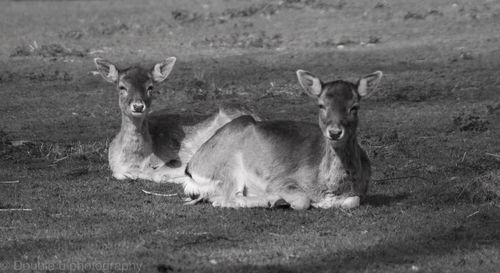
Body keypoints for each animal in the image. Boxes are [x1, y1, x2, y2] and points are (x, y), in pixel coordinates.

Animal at [94, 56, 252, 182]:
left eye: (150, 87)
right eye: (122, 87)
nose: (138, 106)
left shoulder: (183, 157)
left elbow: (158, 174)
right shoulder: (115, 166)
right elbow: (119, 174)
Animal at [183, 68, 382, 208]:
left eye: (355, 107)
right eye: (321, 105)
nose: (334, 132)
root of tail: (190, 168)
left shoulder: (360, 192)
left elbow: (353, 201)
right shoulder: (281, 181)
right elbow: (302, 200)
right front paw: (279, 199)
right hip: (228, 166)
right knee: (227, 196)